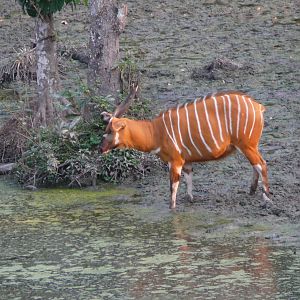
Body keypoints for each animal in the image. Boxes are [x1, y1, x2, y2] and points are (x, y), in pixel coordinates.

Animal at [99, 85, 270, 209]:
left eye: (110, 131)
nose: (100, 149)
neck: (155, 131)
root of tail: (258, 106)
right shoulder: (186, 161)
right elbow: (188, 181)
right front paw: (190, 200)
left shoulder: (175, 161)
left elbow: (173, 188)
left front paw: (172, 209)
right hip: (248, 146)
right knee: (256, 164)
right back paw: (252, 191)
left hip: (246, 145)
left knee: (261, 164)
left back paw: (266, 196)